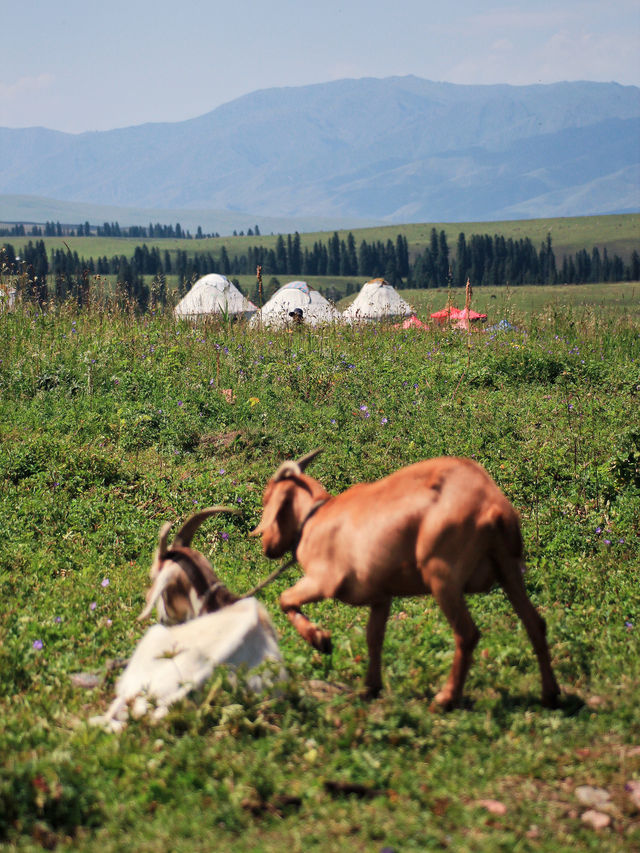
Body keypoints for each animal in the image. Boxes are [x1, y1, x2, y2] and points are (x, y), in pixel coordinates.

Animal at [251, 450, 560, 708]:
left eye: (267, 499)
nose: (267, 545)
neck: (316, 516)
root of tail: (492, 506)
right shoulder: (380, 597)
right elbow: (374, 638)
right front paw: (371, 687)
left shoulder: (323, 580)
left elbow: (285, 599)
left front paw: (321, 640)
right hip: (508, 570)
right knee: (535, 623)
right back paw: (550, 694)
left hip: (442, 575)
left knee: (467, 633)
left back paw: (446, 699)